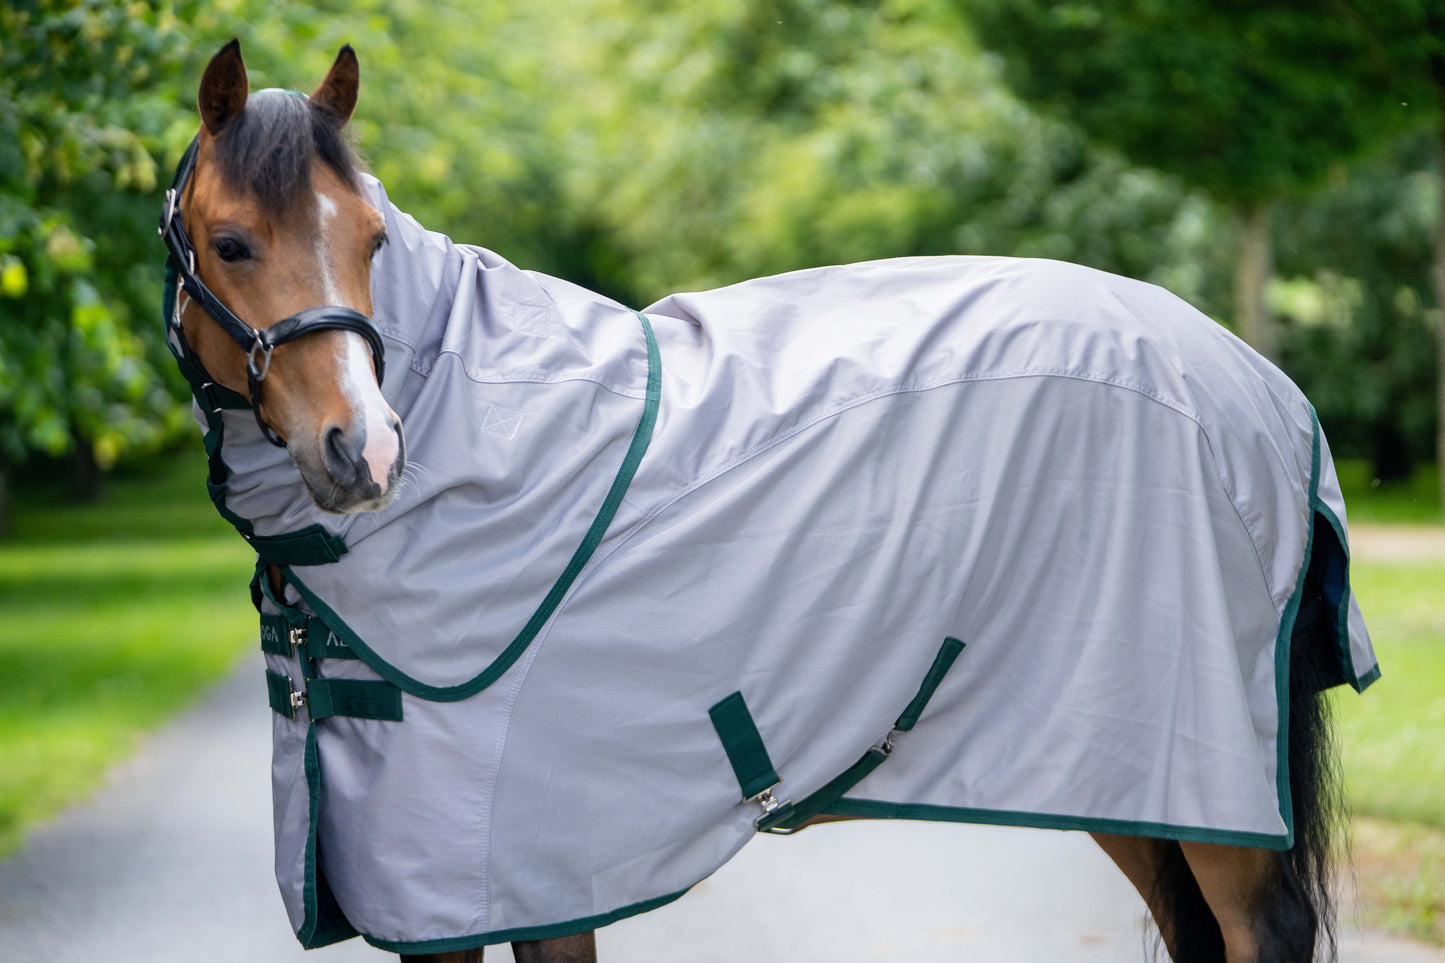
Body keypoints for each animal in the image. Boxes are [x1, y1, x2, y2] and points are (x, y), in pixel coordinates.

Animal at [162, 39, 1377, 963]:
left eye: (371, 239)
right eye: (232, 242)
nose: (363, 451)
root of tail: (1258, 386)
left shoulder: (525, 869)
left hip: (1201, 778)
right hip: (1117, 773)